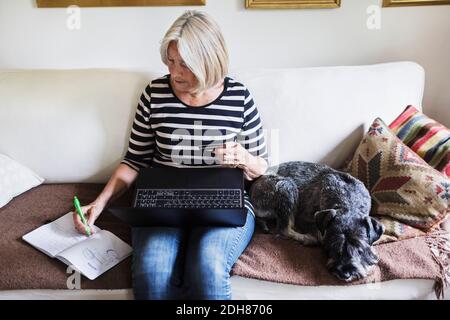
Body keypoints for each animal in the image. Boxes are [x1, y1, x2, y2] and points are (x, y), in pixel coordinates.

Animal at [250, 161, 384, 282]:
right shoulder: (305, 218)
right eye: (334, 245)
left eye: (359, 248)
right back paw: (307, 238)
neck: (348, 201)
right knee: (284, 229)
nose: (344, 274)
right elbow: (319, 234)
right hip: (286, 186)